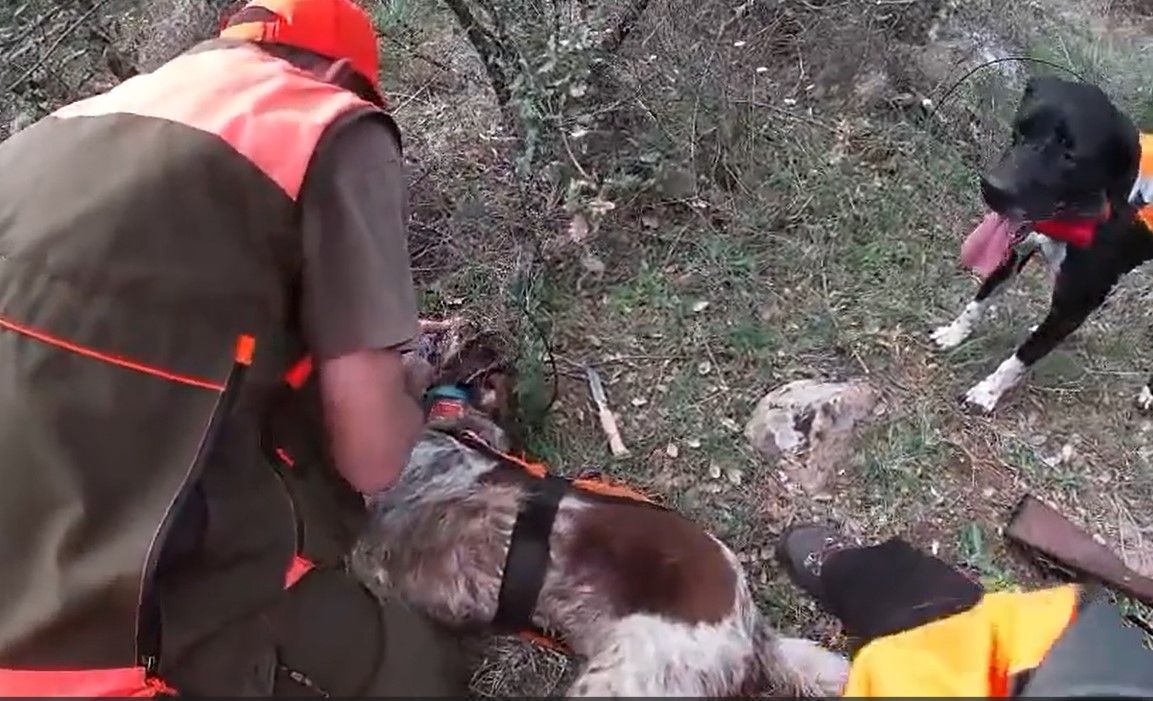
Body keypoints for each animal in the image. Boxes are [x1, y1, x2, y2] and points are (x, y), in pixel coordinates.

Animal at [930, 76, 1153, 413]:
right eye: (1020, 129)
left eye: (1069, 155)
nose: (991, 189)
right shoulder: (1014, 252)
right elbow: (978, 302)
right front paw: (954, 334)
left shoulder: (1077, 303)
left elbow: (1022, 357)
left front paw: (987, 392)